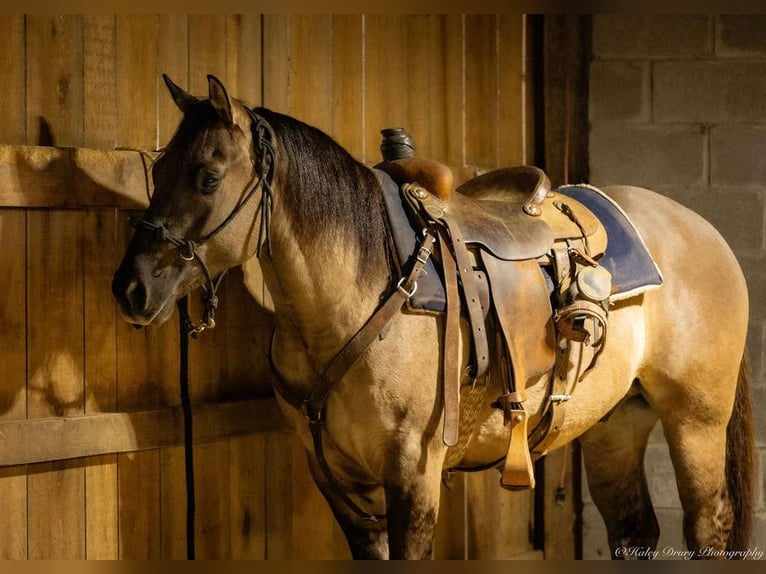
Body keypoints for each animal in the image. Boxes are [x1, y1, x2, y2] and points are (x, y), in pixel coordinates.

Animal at [111, 74, 760, 560]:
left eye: (208, 176)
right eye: (159, 169)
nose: (131, 288)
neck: (357, 295)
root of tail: (704, 230)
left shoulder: (413, 477)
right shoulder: (340, 487)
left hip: (696, 421)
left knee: (707, 525)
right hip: (613, 424)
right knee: (634, 530)